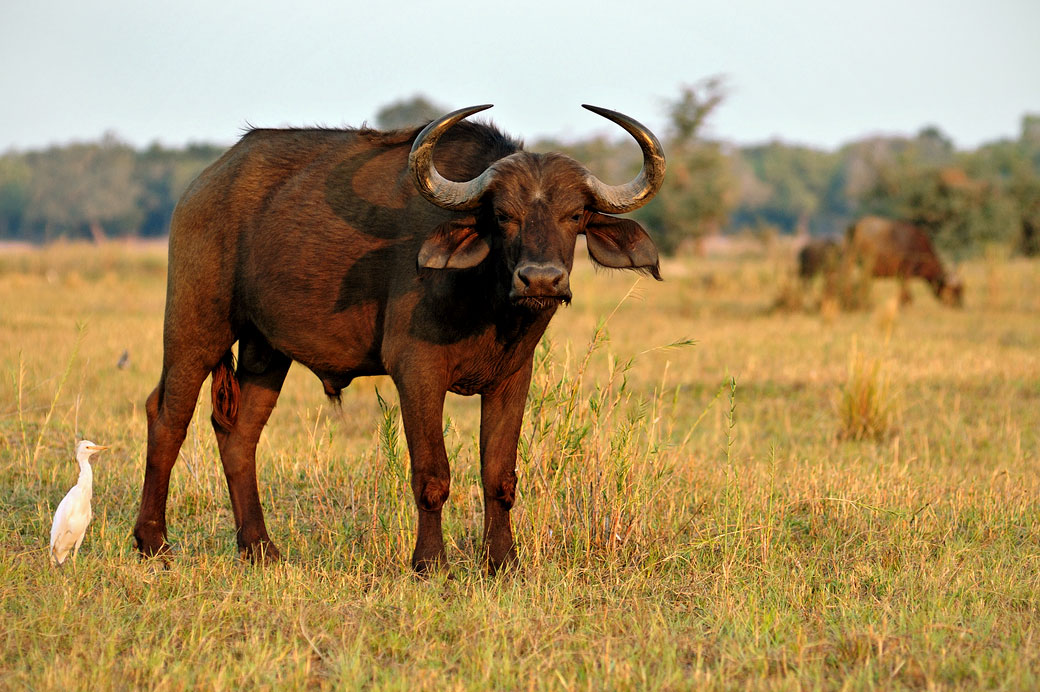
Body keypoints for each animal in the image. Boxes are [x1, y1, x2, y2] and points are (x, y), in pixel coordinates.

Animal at [134, 104, 665, 570]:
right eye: (502, 215)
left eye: (574, 215)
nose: (541, 280)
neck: (488, 304)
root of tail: (204, 185)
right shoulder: (417, 371)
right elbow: (432, 474)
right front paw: (430, 563)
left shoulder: (513, 377)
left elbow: (500, 475)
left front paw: (502, 562)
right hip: (194, 328)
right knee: (167, 417)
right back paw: (153, 542)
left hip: (266, 351)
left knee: (239, 434)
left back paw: (260, 548)